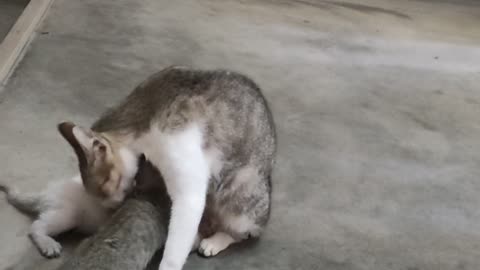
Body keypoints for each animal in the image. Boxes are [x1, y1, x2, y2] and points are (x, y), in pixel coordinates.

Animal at [59, 67, 278, 270]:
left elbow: (175, 247)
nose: (114, 205)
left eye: (106, 185)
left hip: (241, 192)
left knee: (242, 232)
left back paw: (215, 241)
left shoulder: (188, 182)